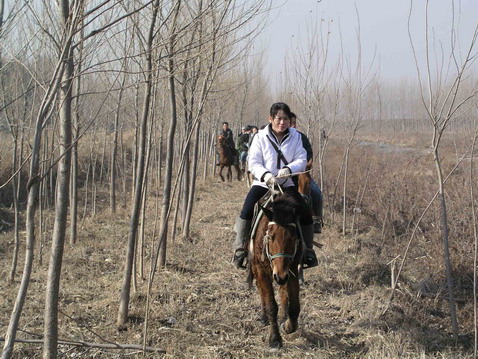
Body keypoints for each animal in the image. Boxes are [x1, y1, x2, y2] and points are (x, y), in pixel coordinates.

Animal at [246, 193, 302, 350]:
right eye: (270, 237)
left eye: (293, 238)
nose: (280, 276)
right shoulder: (262, 271)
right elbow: (271, 305)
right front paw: (275, 339)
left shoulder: (292, 270)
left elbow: (294, 307)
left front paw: (287, 326)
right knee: (261, 291)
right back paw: (264, 317)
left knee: (283, 293)